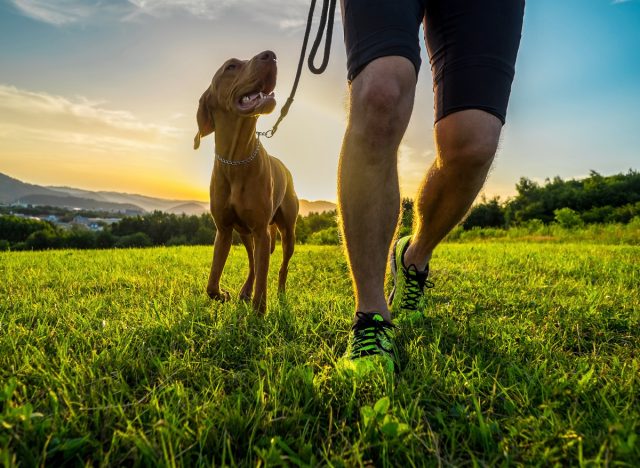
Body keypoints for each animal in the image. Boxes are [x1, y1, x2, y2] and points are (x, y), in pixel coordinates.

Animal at [194, 50, 298, 314]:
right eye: (231, 66)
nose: (270, 55)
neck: (236, 160)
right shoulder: (224, 230)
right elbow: (211, 283)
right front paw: (223, 295)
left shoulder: (262, 230)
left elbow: (263, 280)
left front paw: (259, 311)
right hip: (245, 233)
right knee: (253, 263)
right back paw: (245, 291)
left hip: (287, 232)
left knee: (281, 266)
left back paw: (280, 292)